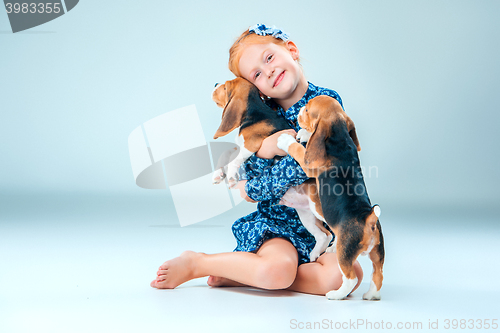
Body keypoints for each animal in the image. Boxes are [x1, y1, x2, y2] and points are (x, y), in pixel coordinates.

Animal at [211, 78, 332, 262]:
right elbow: (226, 154)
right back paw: (314, 255)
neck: (255, 112)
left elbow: (234, 160)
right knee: (325, 235)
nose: (214, 84)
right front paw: (218, 174)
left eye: (224, 87)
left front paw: (230, 176)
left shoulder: (250, 144)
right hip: (307, 214)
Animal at [276, 94, 384, 300]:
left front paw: (287, 139)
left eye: (307, 110)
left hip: (343, 252)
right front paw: (304, 134)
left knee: (349, 278)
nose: (299, 109)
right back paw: (370, 295)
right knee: (378, 274)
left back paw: (336, 294)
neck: (340, 137)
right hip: (377, 253)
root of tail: (369, 219)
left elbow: (297, 149)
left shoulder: (307, 163)